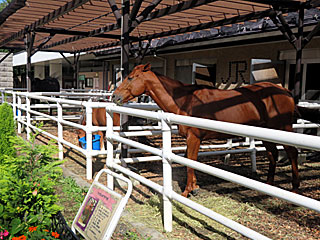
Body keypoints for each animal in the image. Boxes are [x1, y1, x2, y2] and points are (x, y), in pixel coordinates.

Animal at [112, 63, 320, 197]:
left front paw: (188, 191)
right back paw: (268, 185)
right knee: (272, 154)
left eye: (130, 77)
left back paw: (294, 188)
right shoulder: (191, 139)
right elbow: (191, 160)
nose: (115, 96)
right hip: (265, 132)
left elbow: (190, 161)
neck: (185, 101)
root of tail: (285, 91)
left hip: (283, 129)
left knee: (291, 153)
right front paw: (194, 186)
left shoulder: (194, 138)